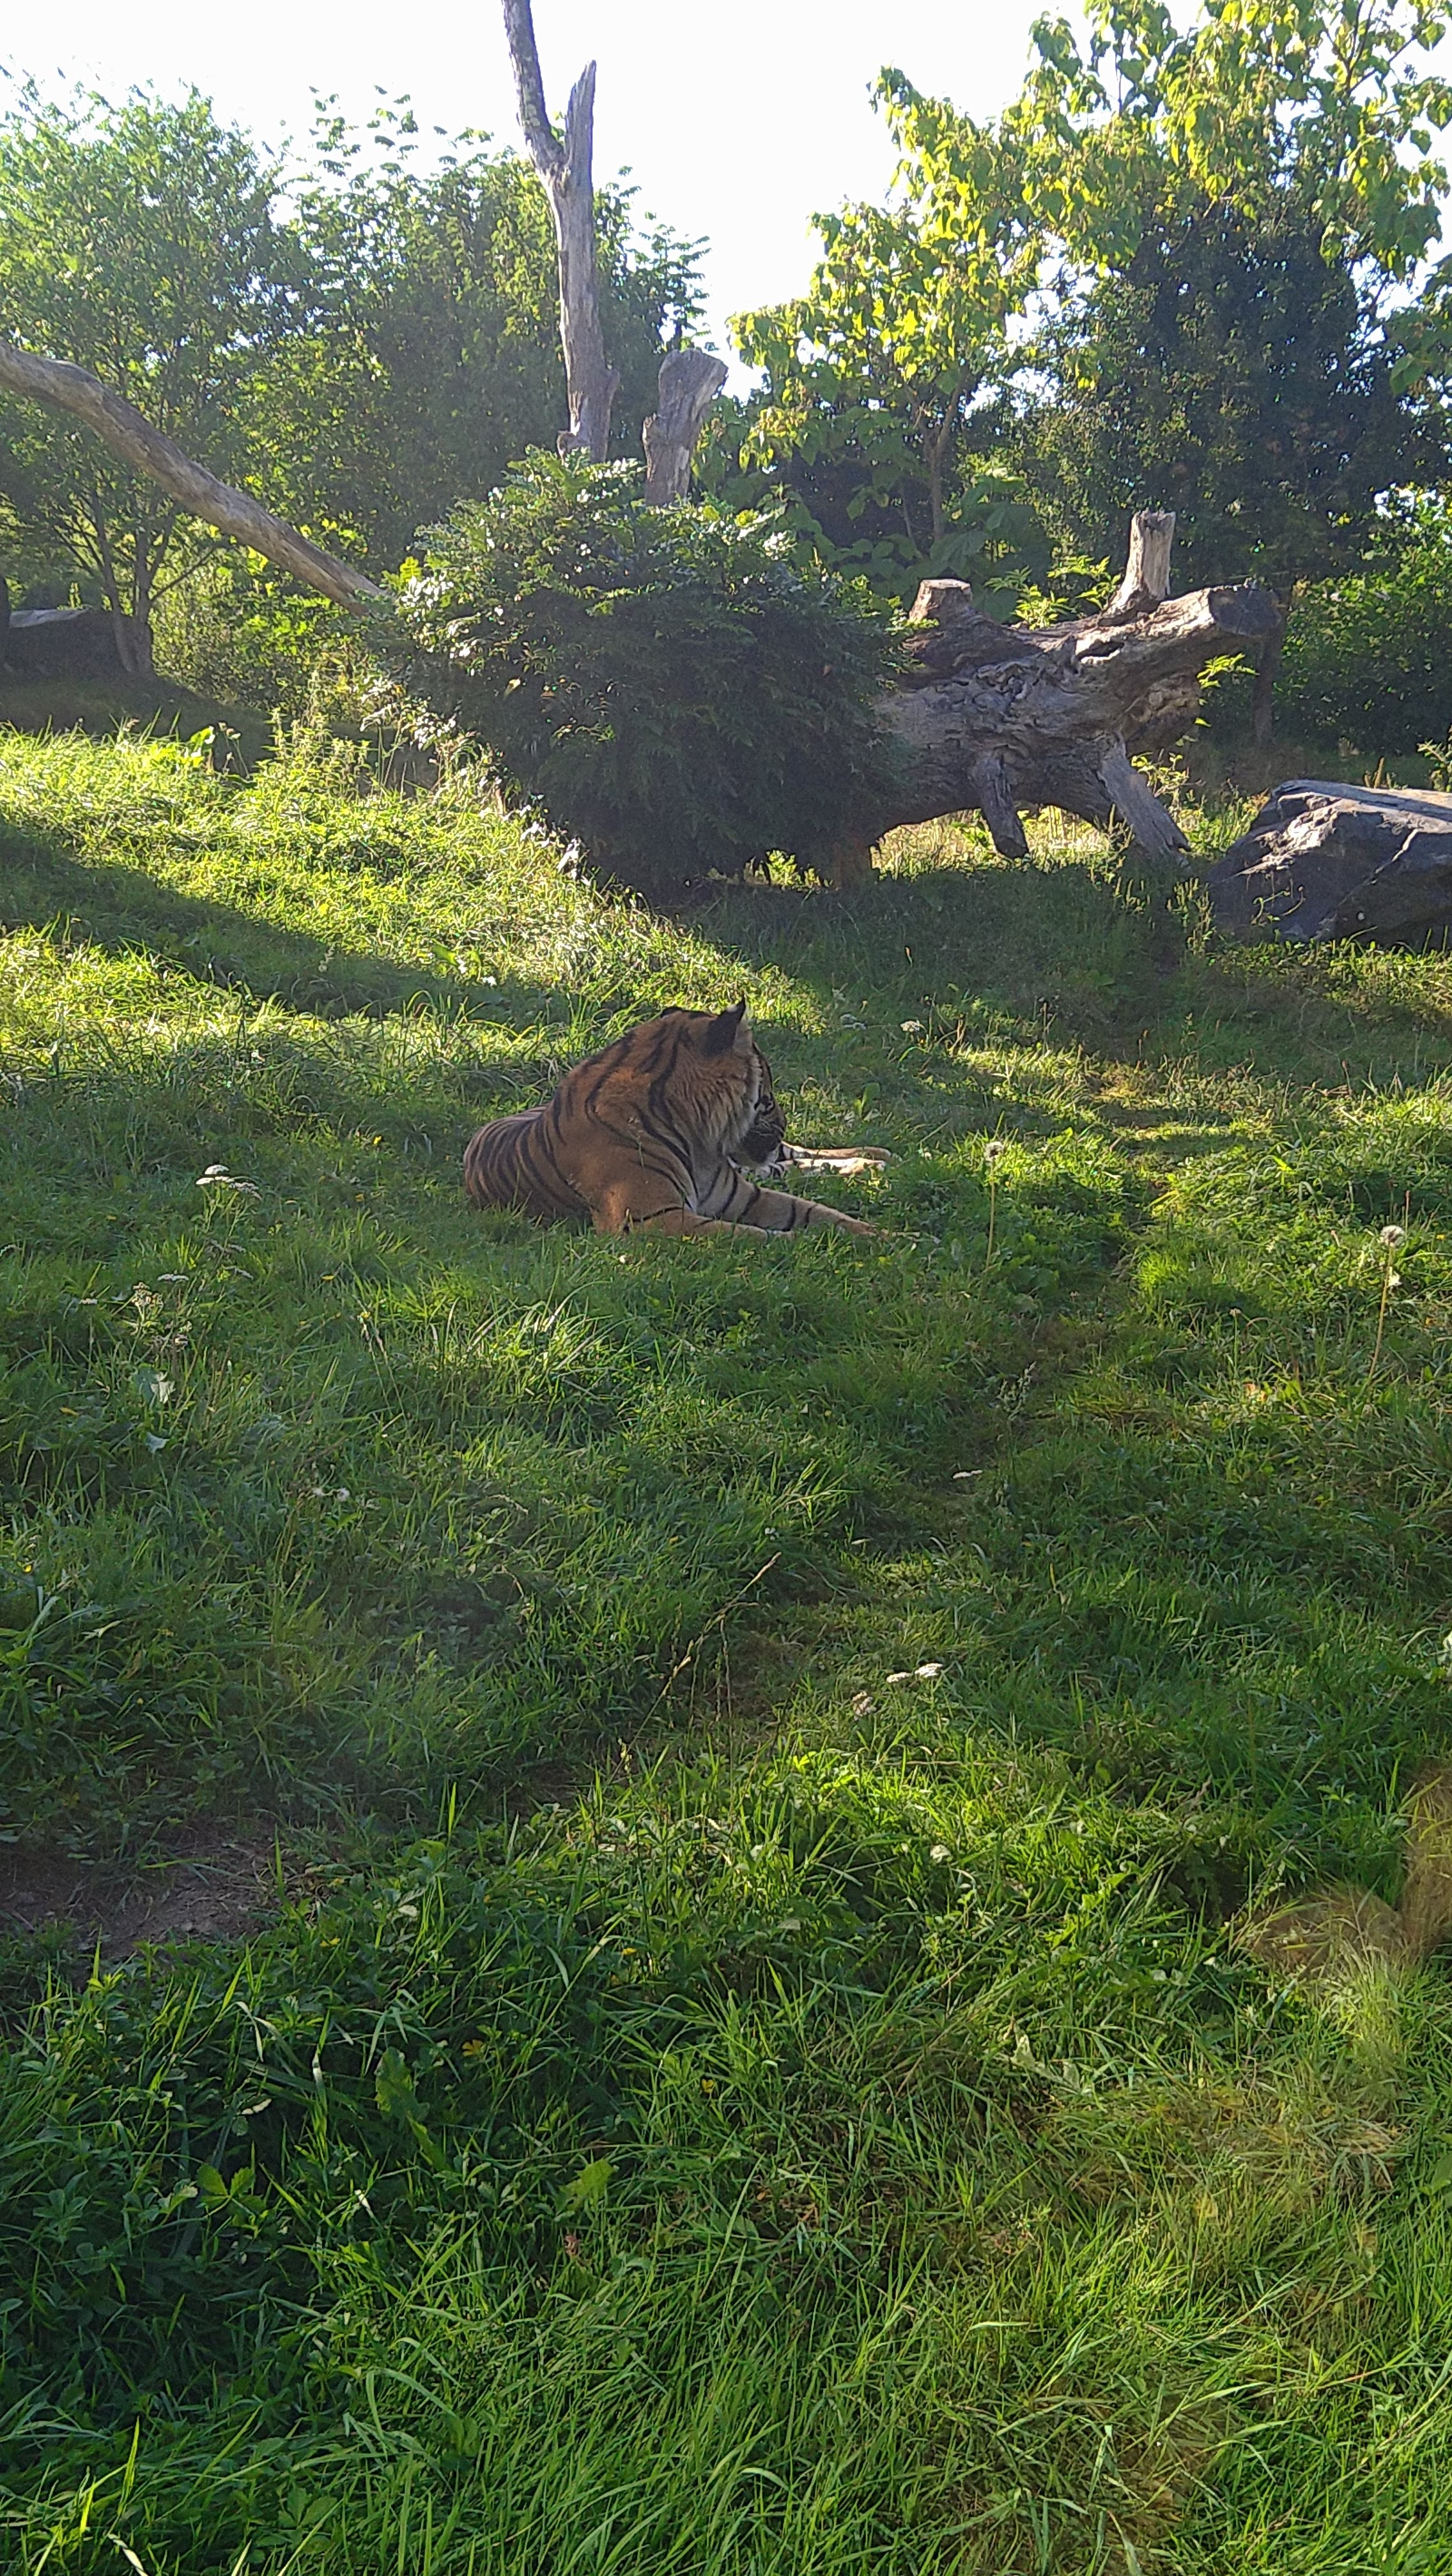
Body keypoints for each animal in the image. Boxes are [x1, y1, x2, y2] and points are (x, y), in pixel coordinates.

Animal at [463, 1003, 885, 1239]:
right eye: (768, 1089)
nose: (783, 1119)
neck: (701, 1139)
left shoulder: (746, 1195)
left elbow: (819, 1212)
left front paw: (883, 1238)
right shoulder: (652, 1219)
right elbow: (747, 1237)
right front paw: (806, 1246)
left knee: (795, 1156)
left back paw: (879, 1157)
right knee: (792, 1164)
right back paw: (874, 1164)